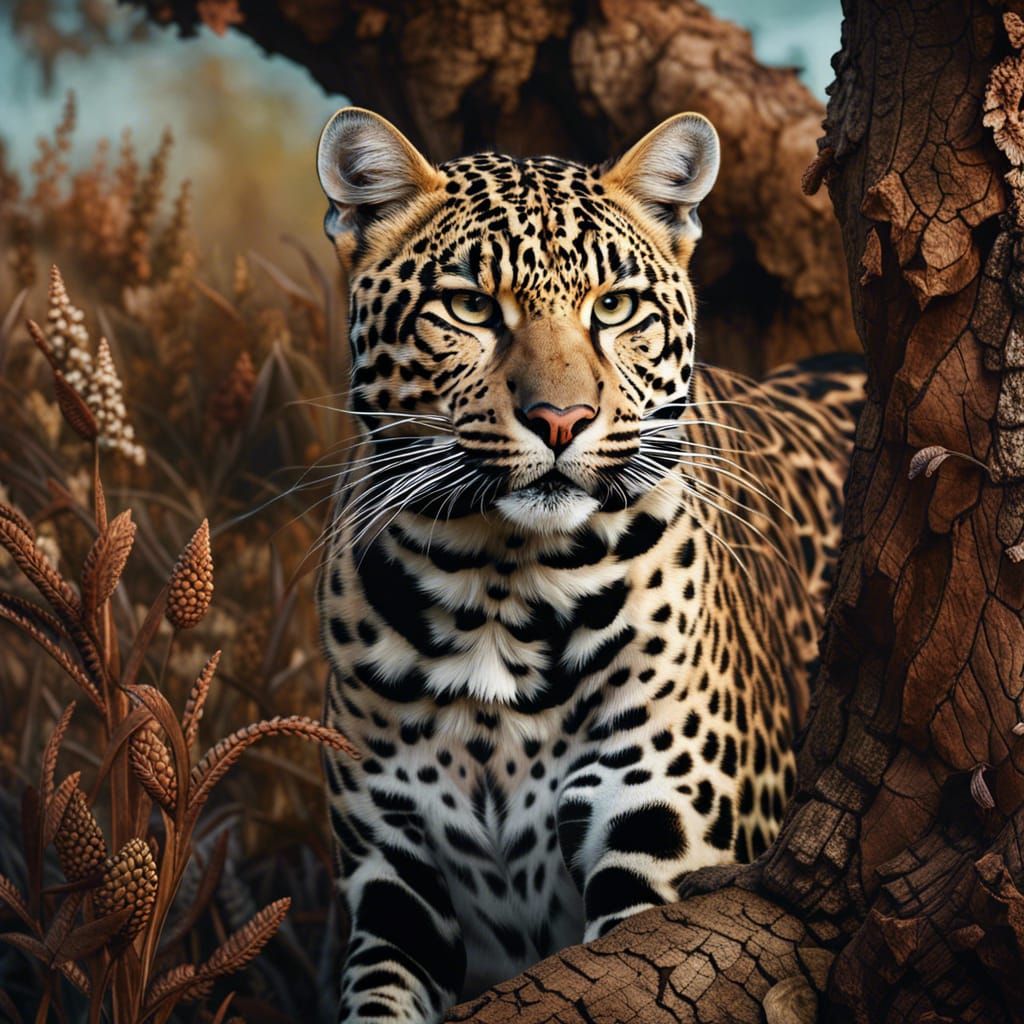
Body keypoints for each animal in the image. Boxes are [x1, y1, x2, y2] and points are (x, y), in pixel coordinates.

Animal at [313, 106, 864, 1024]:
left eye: (614, 305)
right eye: (470, 306)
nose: (561, 420)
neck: (496, 589)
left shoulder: (661, 850)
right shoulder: (396, 889)